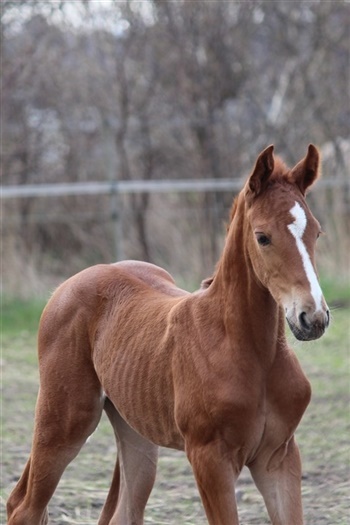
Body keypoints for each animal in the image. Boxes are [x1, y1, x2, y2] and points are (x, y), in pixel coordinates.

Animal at [8, 144, 330, 524]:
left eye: (316, 233)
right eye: (262, 237)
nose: (313, 317)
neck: (251, 352)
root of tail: (67, 285)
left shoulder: (278, 457)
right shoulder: (210, 459)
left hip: (136, 436)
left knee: (122, 512)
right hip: (64, 421)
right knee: (24, 507)